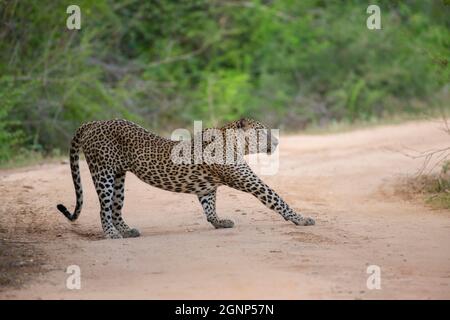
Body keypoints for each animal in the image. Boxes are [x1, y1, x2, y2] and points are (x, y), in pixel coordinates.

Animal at [57, 117, 316, 238]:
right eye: (262, 131)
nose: (278, 141)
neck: (235, 143)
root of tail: (93, 122)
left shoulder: (207, 187)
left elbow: (209, 207)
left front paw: (219, 222)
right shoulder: (249, 181)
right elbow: (276, 198)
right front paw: (302, 219)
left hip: (119, 178)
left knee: (115, 209)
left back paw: (127, 231)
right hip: (103, 174)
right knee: (104, 208)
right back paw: (111, 235)